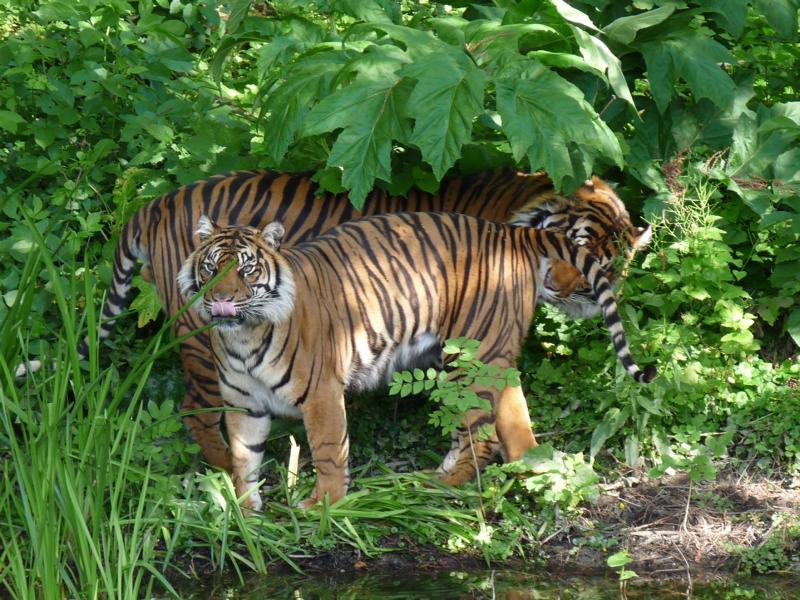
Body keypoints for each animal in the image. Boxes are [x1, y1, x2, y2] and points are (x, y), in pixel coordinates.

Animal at [15, 168, 651, 474]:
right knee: (199, 408)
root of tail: (153, 204)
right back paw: (226, 471)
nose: (574, 292)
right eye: (578, 244)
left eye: (611, 258)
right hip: (200, 337)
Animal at [177, 212, 656, 510]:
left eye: (246, 270)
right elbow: (244, 459)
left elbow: (329, 451)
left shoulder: (321, 393)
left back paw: (441, 486)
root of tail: (509, 232)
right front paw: (245, 510)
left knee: (482, 436)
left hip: (471, 354)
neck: (243, 336)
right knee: (509, 425)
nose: (221, 300)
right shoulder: (243, 404)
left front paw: (322, 505)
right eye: (211, 267)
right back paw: (516, 470)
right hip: (487, 357)